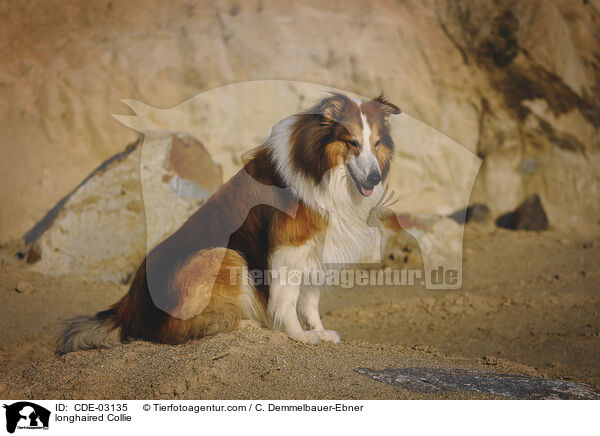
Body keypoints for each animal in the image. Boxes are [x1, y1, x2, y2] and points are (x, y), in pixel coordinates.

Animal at [58, 93, 400, 354]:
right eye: (352, 142)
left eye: (376, 143)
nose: (374, 178)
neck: (320, 168)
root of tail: (128, 306)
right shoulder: (290, 248)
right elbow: (288, 298)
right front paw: (299, 335)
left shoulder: (317, 250)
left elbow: (309, 300)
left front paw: (320, 330)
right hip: (224, 256)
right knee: (177, 331)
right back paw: (244, 323)